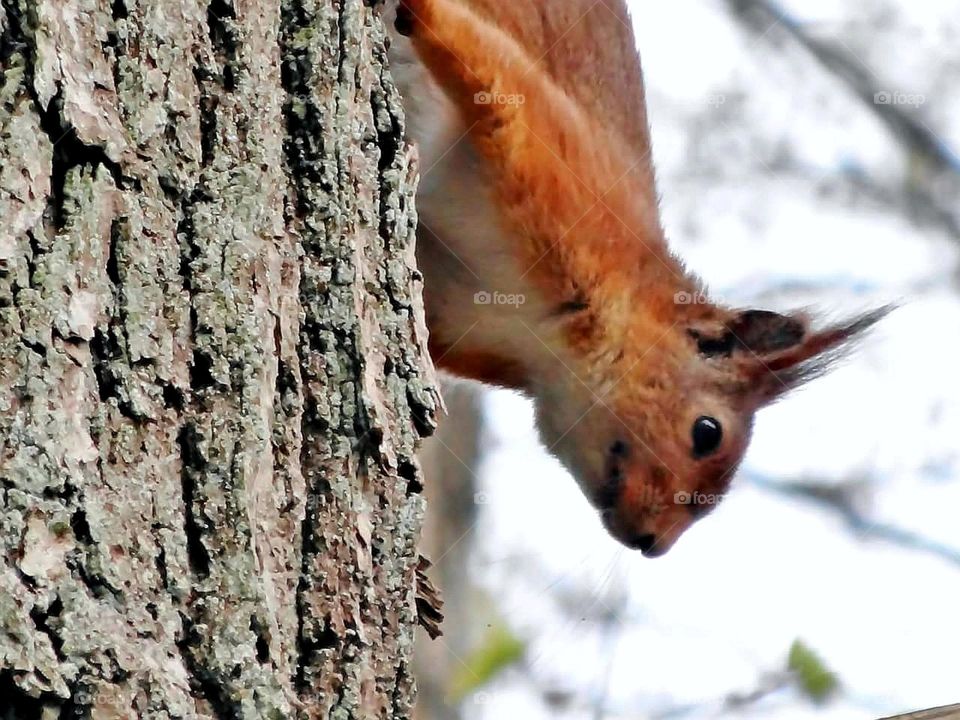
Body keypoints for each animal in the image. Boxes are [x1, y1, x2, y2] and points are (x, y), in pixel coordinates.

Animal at [380, 0, 884, 556]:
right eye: (707, 432)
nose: (654, 544)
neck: (543, 335)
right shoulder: (561, 172)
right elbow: (490, 69)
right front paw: (423, 12)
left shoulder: (462, 313)